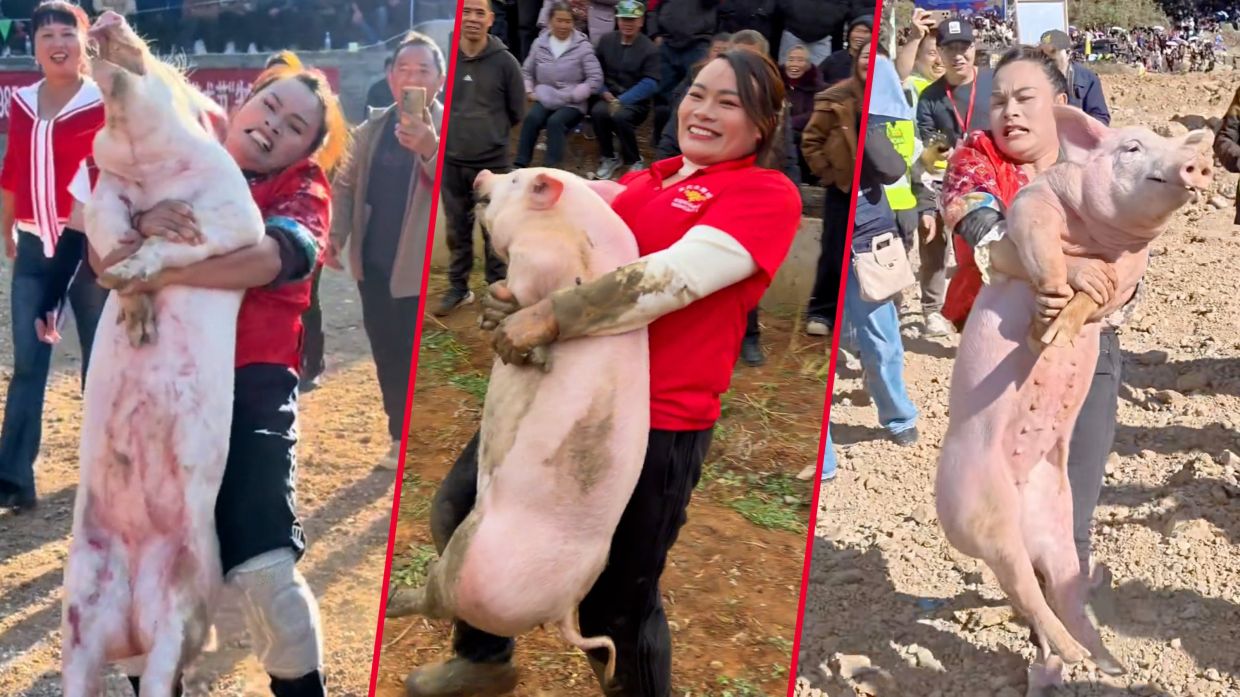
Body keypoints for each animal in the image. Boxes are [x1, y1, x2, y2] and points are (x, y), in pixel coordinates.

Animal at [60, 11, 265, 696]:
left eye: (173, 77)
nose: (102, 16)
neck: (149, 173)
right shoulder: (106, 195)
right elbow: (108, 226)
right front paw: (130, 304)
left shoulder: (238, 217)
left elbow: (178, 240)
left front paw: (133, 277)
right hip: (79, 602)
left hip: (184, 603)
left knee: (162, 667)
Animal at [385, 168, 650, 682]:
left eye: (516, 179)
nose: (484, 173)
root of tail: (562, 607)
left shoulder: (538, 262)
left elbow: (522, 292)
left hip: (470, 566)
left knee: (439, 598)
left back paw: (393, 603)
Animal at [935, 105, 1213, 694]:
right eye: (1132, 147)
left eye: (1177, 142)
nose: (1195, 163)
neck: (1098, 238)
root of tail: (1018, 492)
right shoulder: (1036, 203)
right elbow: (1043, 249)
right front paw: (1046, 327)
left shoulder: (1135, 263)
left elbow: (1104, 291)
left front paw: (1059, 330)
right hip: (979, 509)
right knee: (1022, 588)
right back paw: (1075, 655)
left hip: (1056, 519)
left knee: (1057, 588)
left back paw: (1108, 662)